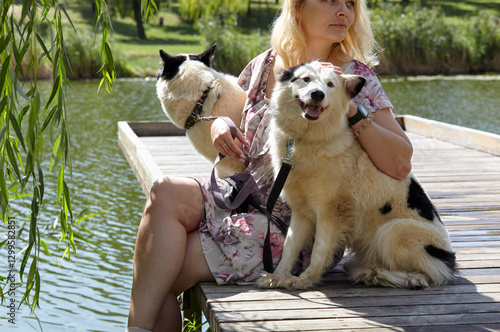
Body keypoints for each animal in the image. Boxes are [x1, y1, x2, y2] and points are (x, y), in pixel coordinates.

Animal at [258, 61, 458, 290]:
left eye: (330, 84)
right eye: (305, 79)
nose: (317, 94)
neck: (305, 137)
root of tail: (450, 258)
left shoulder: (331, 213)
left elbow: (319, 250)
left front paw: (303, 280)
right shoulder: (301, 213)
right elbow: (290, 247)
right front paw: (278, 276)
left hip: (393, 231)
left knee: (431, 274)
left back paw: (388, 276)